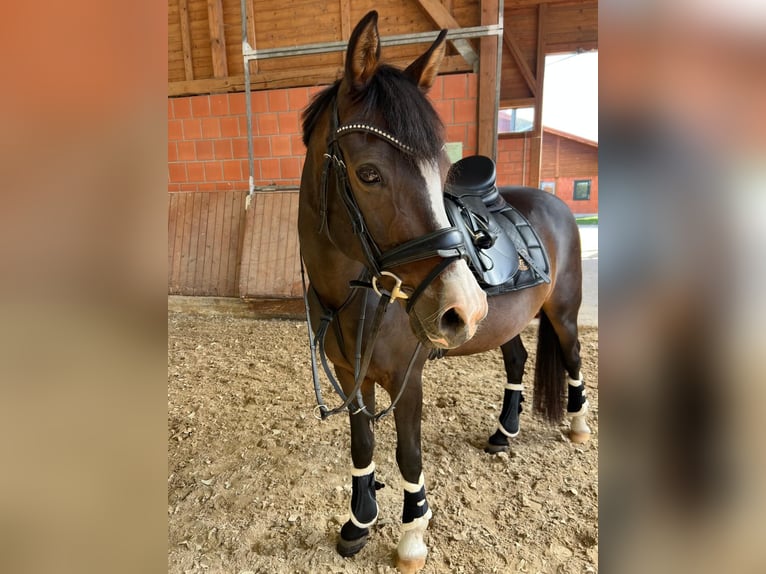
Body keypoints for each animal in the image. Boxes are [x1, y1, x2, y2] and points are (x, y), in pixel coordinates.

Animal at [297, 11, 590, 572]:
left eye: (440, 171)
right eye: (369, 173)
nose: (463, 306)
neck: (356, 294)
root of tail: (552, 201)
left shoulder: (406, 379)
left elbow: (408, 452)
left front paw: (412, 534)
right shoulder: (350, 375)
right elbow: (362, 445)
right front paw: (359, 521)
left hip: (563, 314)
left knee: (573, 357)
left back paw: (578, 425)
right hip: (506, 323)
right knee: (518, 361)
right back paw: (504, 432)